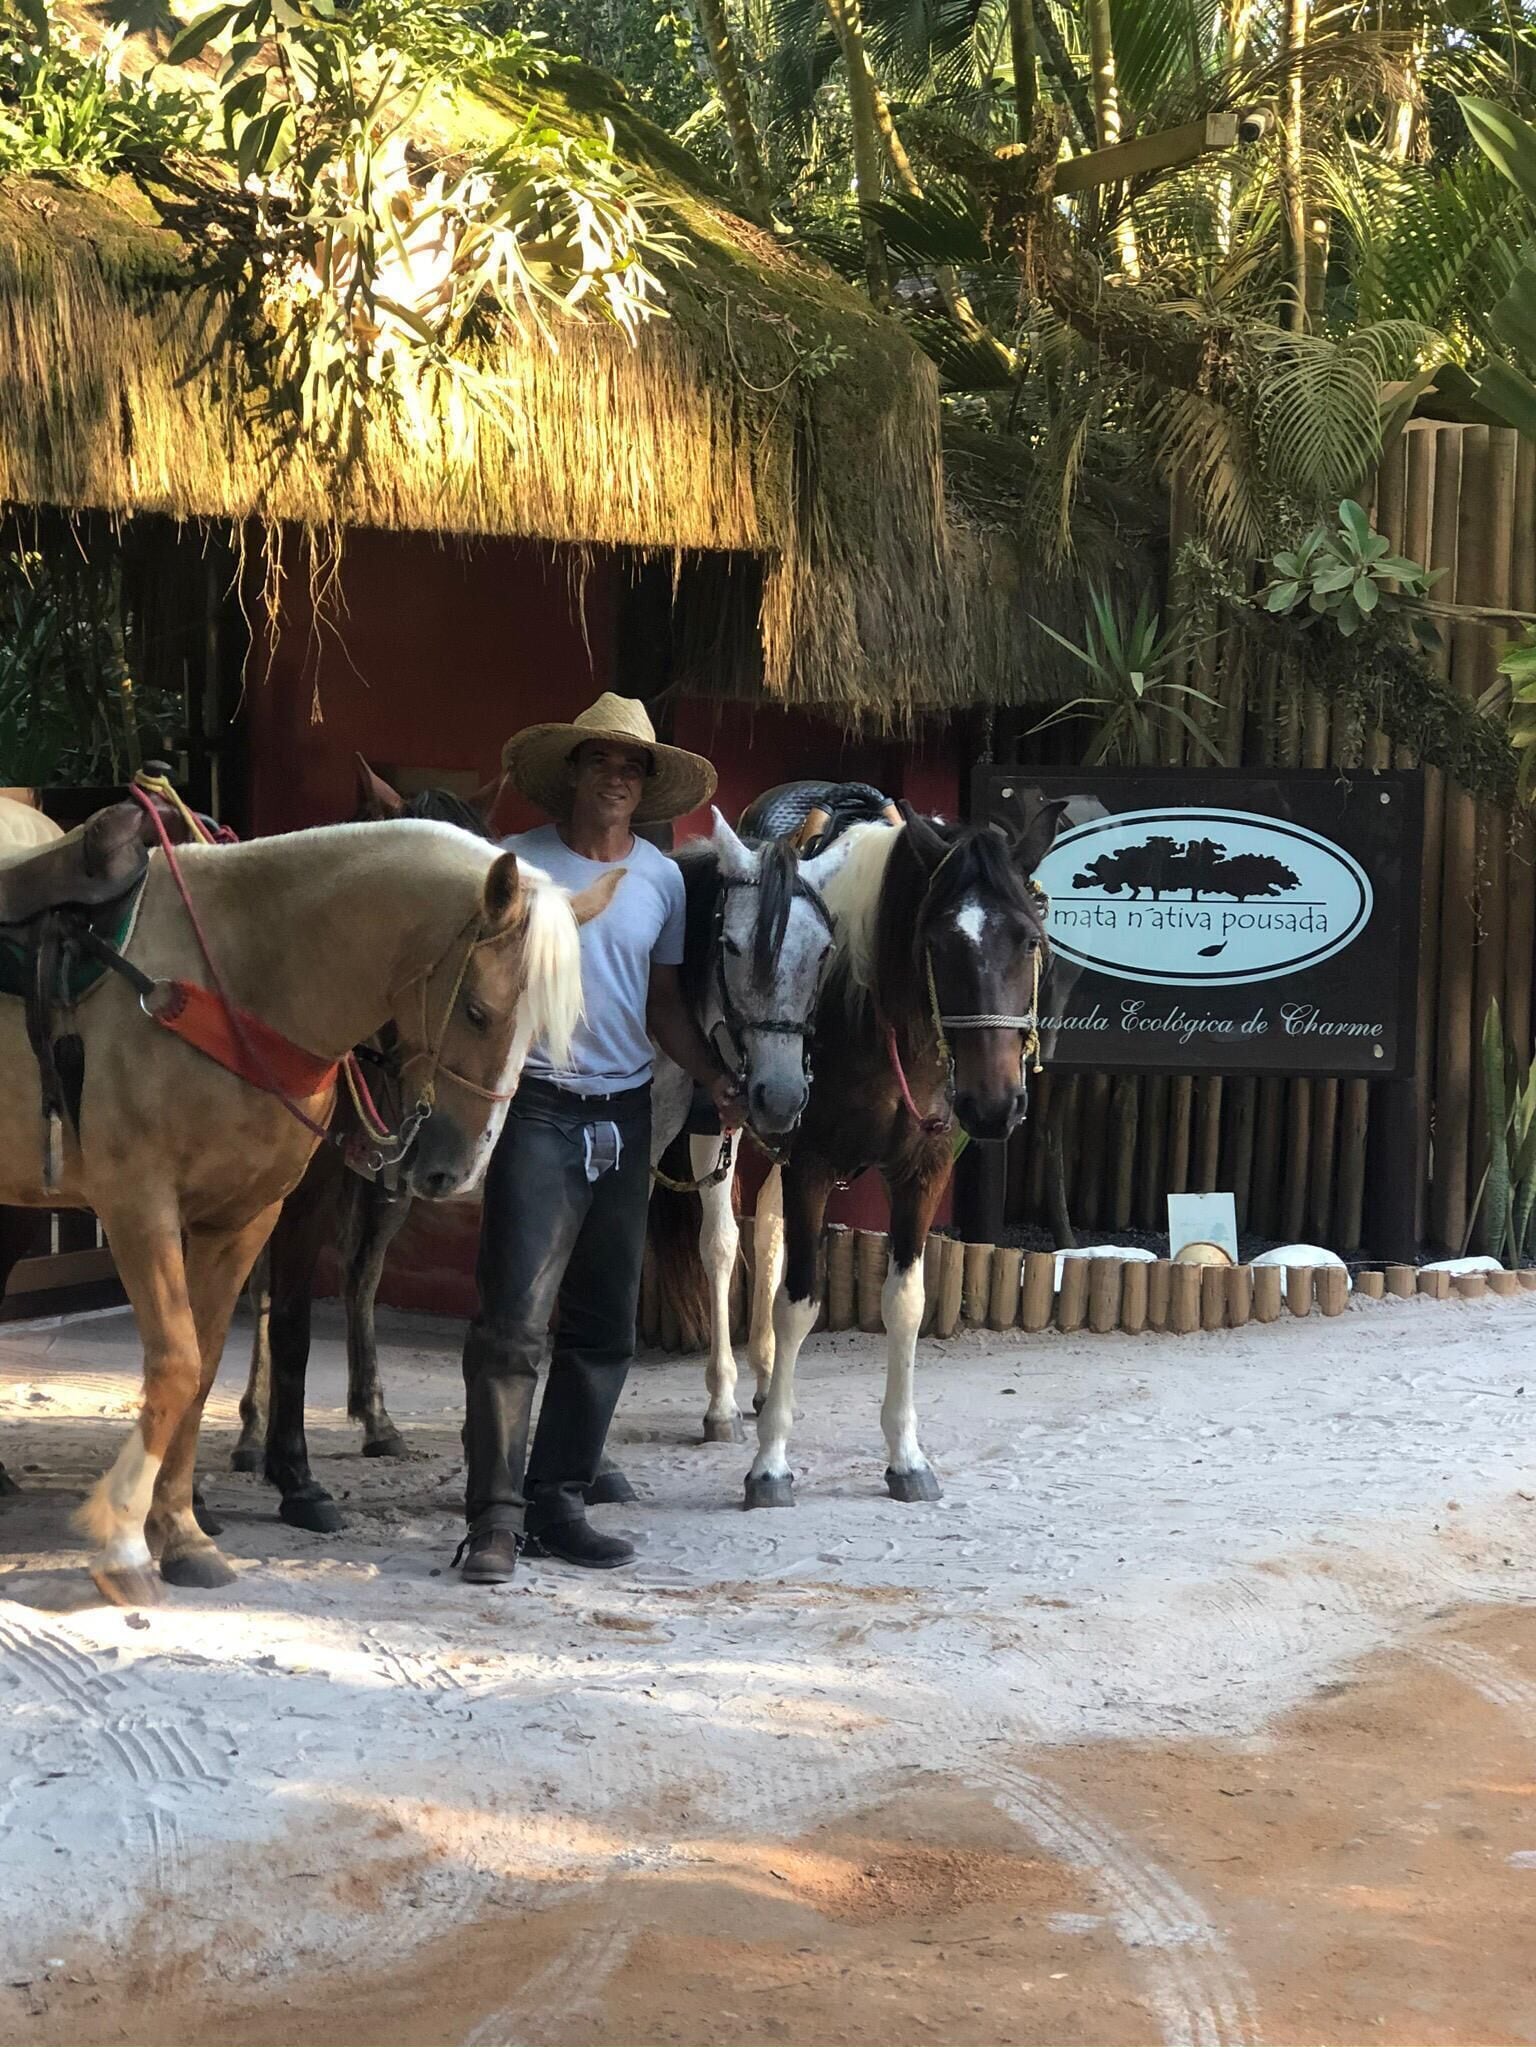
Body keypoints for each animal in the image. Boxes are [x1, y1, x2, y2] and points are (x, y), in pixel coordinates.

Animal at [0, 813, 613, 1603]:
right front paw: (126, 1542)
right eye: (478, 1011)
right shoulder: (138, 1202)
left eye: (538, 1029)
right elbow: (176, 1361)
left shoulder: (243, 1217)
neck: (236, 981)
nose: (456, 1168)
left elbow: (203, 1367)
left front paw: (182, 1532)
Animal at [731, 801, 1062, 1507]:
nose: (994, 1105)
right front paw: (770, 1464)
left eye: (1029, 939)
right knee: (718, 1249)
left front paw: (906, 1458)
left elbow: (905, 1304)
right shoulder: (810, 1165)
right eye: (936, 944)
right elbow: (798, 1302)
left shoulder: (922, 1172)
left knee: (764, 1241)